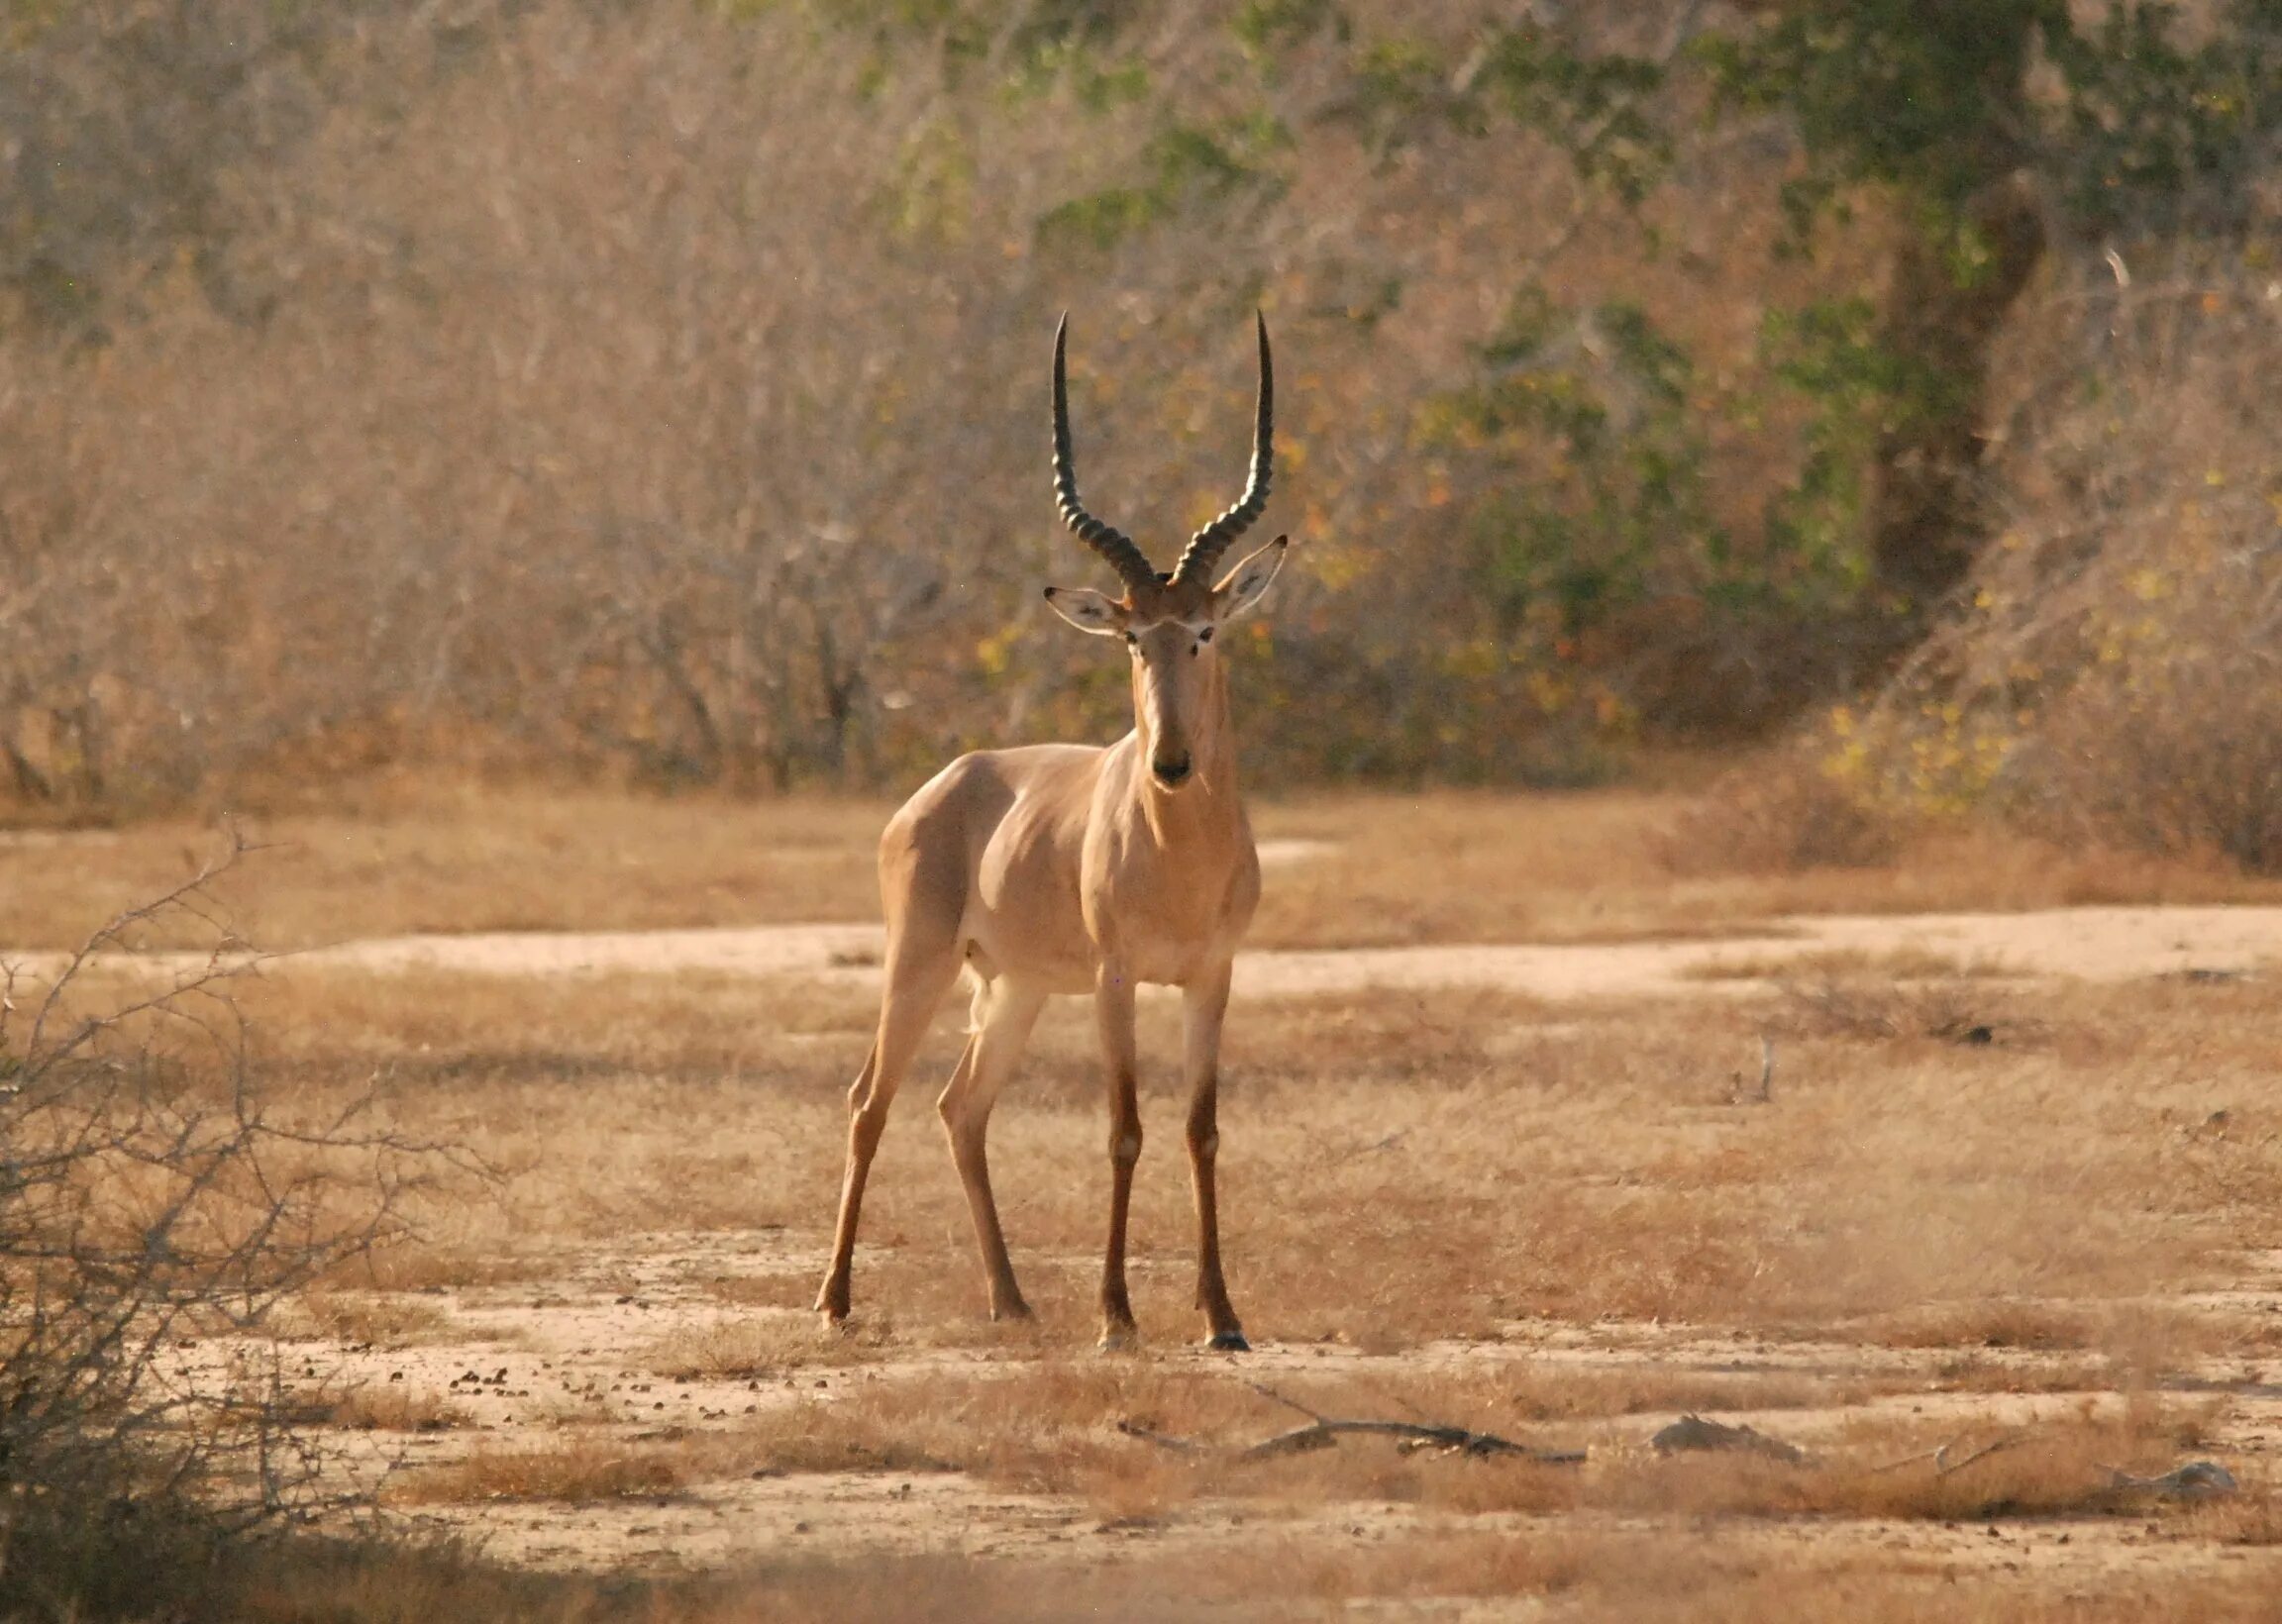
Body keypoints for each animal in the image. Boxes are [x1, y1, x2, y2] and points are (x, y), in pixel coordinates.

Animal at [816, 310, 1287, 1350]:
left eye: (1204, 631)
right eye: (1131, 638)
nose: (1171, 763)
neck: (1179, 858)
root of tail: (942, 785)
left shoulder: (1213, 975)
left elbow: (1201, 1130)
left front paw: (1223, 1319)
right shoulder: (1116, 977)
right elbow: (1123, 1130)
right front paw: (1116, 1318)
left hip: (1016, 988)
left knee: (960, 1107)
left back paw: (1013, 1299)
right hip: (921, 965)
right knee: (870, 1101)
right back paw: (834, 1302)